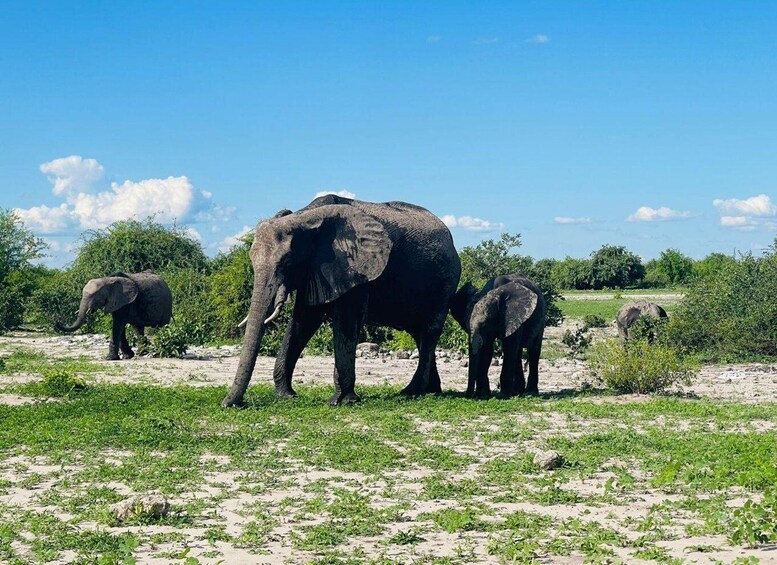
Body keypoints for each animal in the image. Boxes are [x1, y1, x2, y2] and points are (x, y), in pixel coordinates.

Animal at [222, 194, 461, 407]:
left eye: (287, 260)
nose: (229, 405)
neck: (303, 217)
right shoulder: (317, 269)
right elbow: (303, 321)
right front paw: (286, 396)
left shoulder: (355, 266)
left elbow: (345, 321)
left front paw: (341, 402)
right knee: (418, 333)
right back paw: (431, 391)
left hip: (445, 282)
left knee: (429, 331)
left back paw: (412, 392)